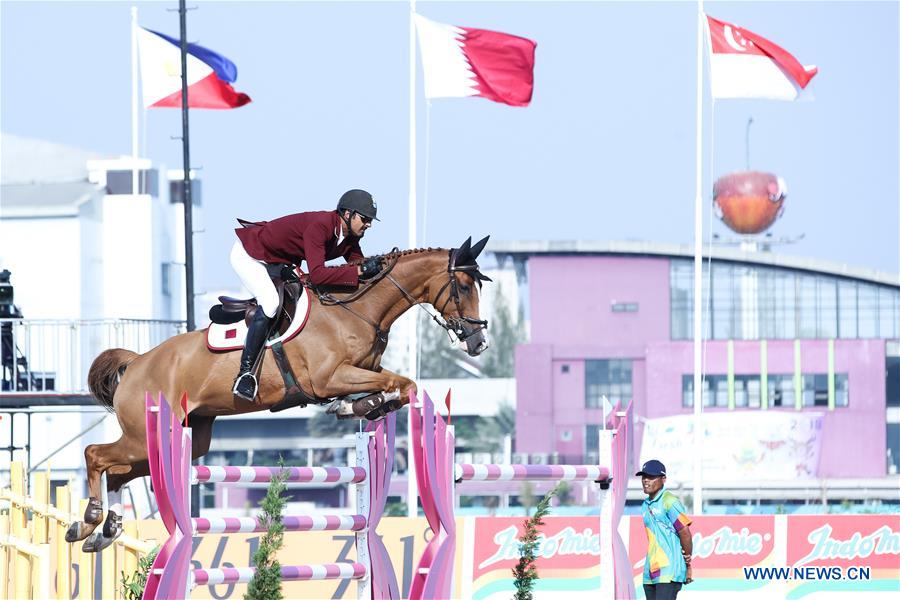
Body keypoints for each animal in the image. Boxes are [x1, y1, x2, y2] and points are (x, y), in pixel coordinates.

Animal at [68, 236, 492, 552]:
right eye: (463, 287)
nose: (478, 342)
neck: (355, 308)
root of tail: (137, 363)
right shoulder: (329, 377)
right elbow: (398, 384)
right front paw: (360, 404)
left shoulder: (363, 372)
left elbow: (404, 386)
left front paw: (364, 406)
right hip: (145, 435)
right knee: (96, 455)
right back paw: (88, 522)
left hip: (183, 437)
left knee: (118, 472)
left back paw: (105, 531)